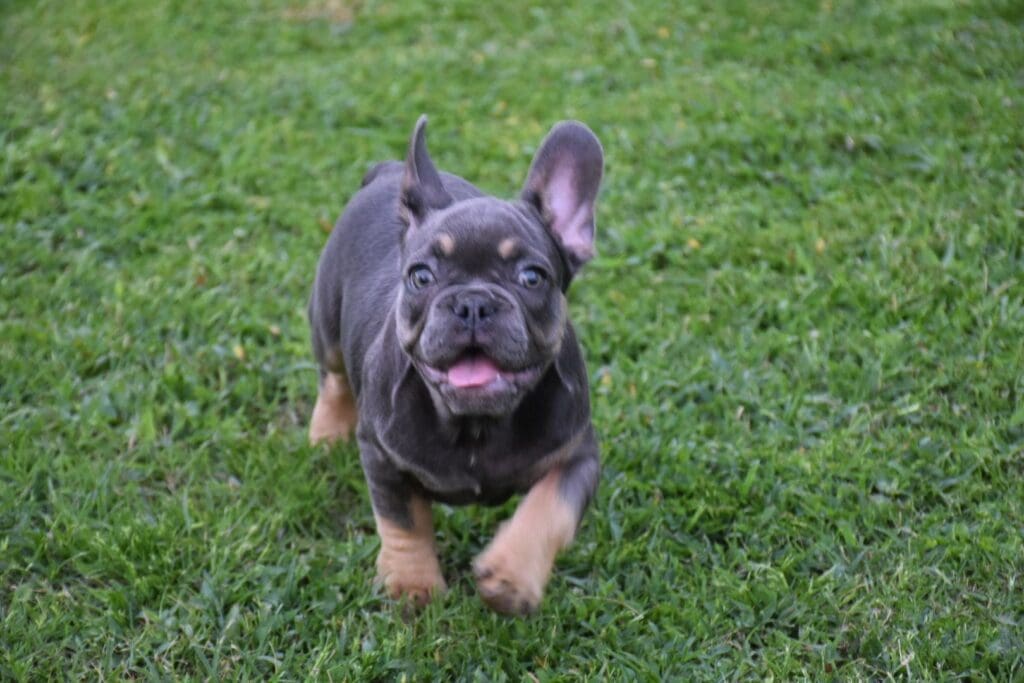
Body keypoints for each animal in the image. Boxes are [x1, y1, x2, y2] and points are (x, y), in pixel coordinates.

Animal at [307, 116, 602, 614]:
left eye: (532, 277)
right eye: (421, 276)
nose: (473, 303)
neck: (475, 425)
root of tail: (388, 172)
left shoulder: (578, 453)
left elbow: (550, 509)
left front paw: (510, 573)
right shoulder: (382, 457)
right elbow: (403, 522)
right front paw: (412, 585)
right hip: (326, 322)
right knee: (333, 379)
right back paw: (326, 434)